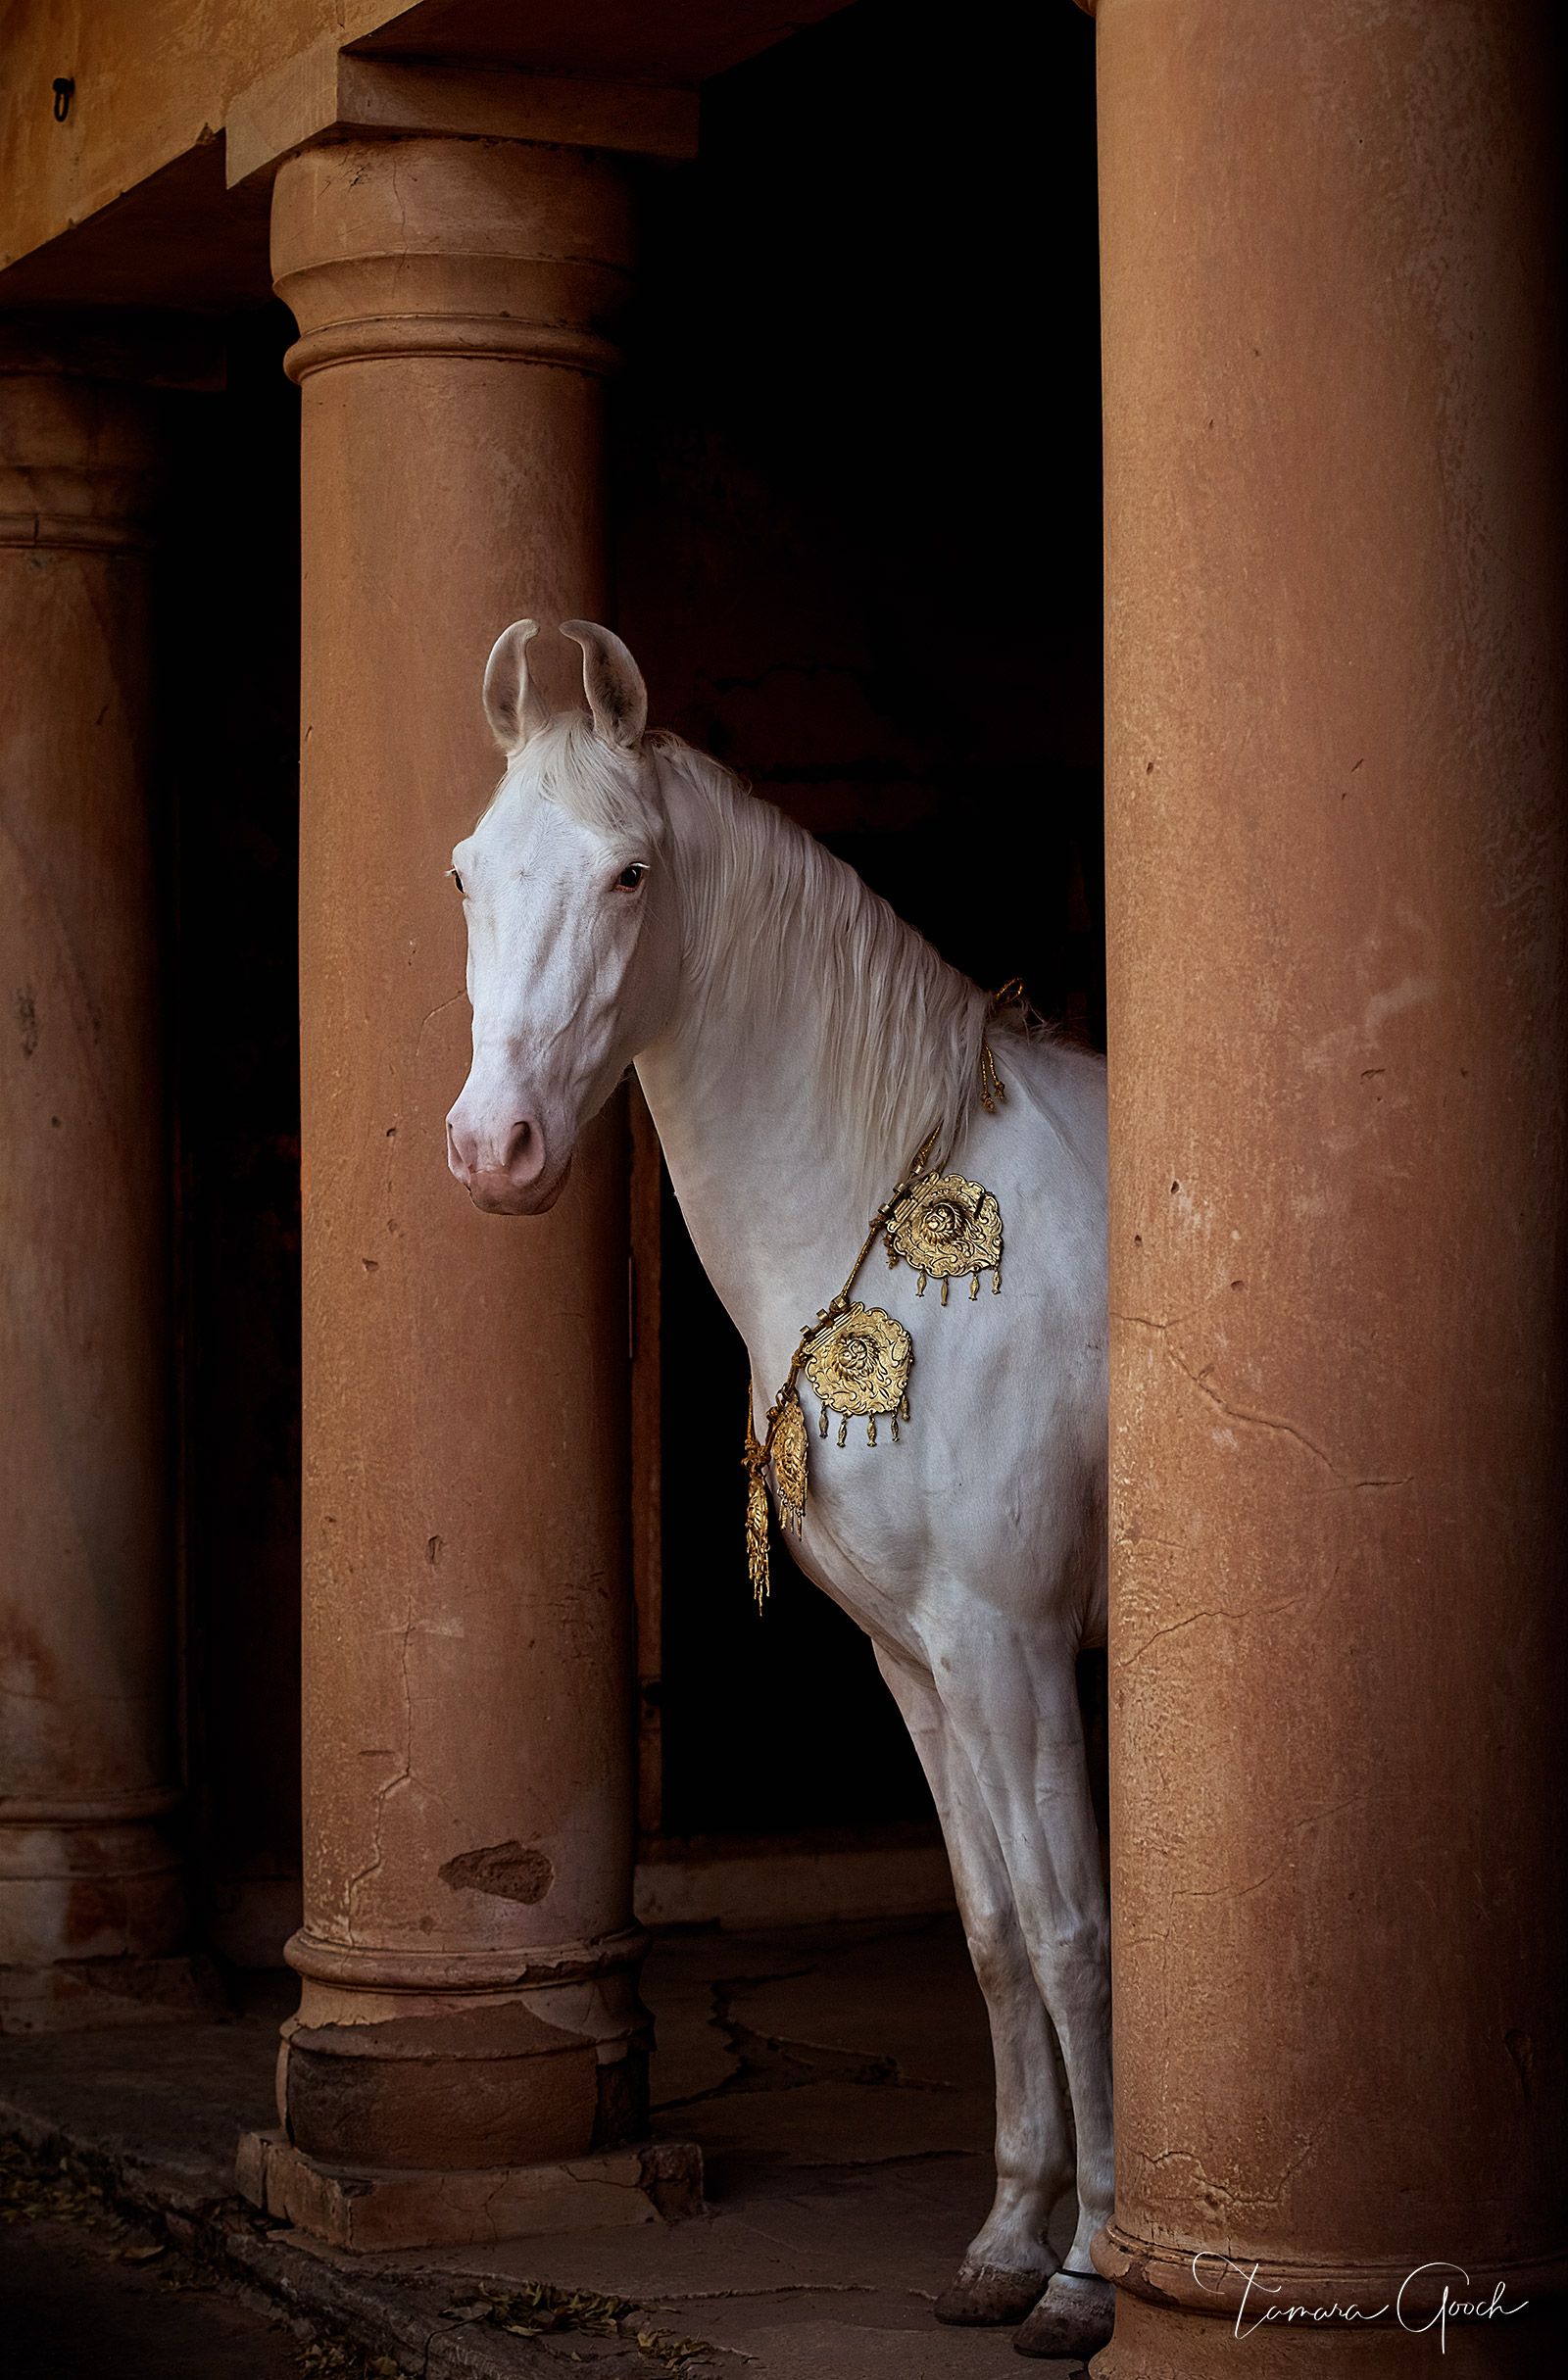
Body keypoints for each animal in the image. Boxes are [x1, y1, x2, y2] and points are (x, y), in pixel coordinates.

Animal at [444, 619, 1114, 2362]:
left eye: (627, 873)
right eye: (468, 870)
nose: (492, 1150)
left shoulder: (1016, 1649)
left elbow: (1077, 1931)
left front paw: (1092, 2277)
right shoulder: (921, 1662)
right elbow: (994, 1933)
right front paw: (1006, 2244)